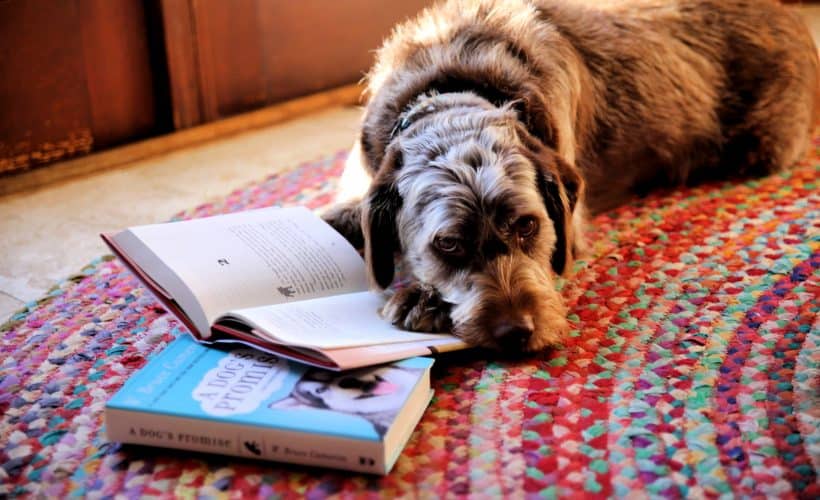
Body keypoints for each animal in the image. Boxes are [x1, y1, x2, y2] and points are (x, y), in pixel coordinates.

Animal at [324, 0, 816, 354]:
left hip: (762, 145)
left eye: (528, 225)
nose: (516, 332)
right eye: (447, 244)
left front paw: (418, 297)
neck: (453, 85)